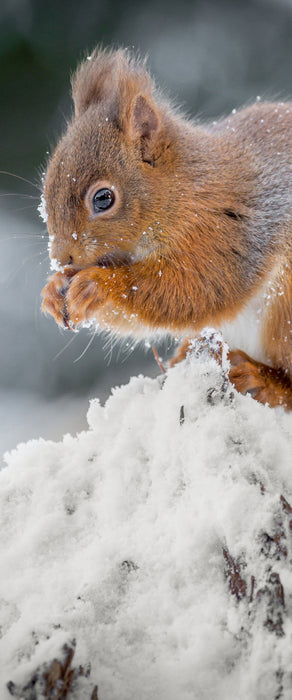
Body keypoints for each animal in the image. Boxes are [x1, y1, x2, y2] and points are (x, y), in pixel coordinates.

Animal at [41, 47, 292, 410]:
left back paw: (262, 379)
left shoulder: (225, 233)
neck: (182, 192)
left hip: (285, 315)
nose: (62, 258)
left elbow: (194, 290)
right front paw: (53, 290)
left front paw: (99, 285)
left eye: (103, 198)